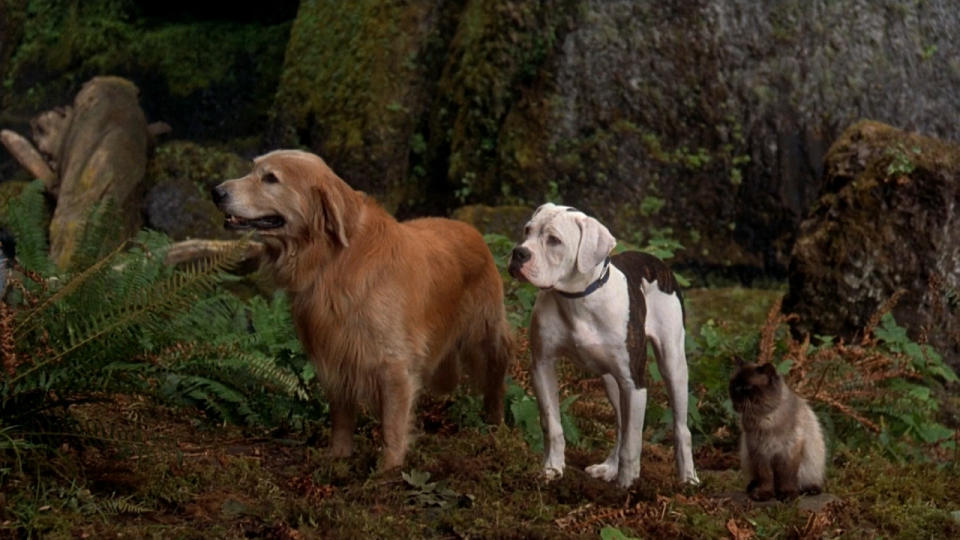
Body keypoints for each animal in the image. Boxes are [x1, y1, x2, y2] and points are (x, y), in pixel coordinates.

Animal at [510, 204, 696, 490]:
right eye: (527, 230)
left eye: (554, 240)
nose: (519, 252)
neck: (578, 299)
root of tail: (656, 260)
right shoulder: (542, 366)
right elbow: (552, 425)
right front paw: (552, 469)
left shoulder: (634, 382)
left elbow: (632, 442)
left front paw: (627, 486)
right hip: (611, 381)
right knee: (620, 425)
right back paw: (609, 467)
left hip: (672, 364)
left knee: (680, 427)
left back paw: (687, 476)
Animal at [728, 360, 824, 500]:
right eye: (734, 384)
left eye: (746, 387)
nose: (736, 390)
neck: (764, 418)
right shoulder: (759, 451)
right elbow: (765, 477)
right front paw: (764, 494)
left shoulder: (787, 451)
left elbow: (786, 476)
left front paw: (787, 494)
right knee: (756, 479)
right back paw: (752, 488)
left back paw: (810, 489)